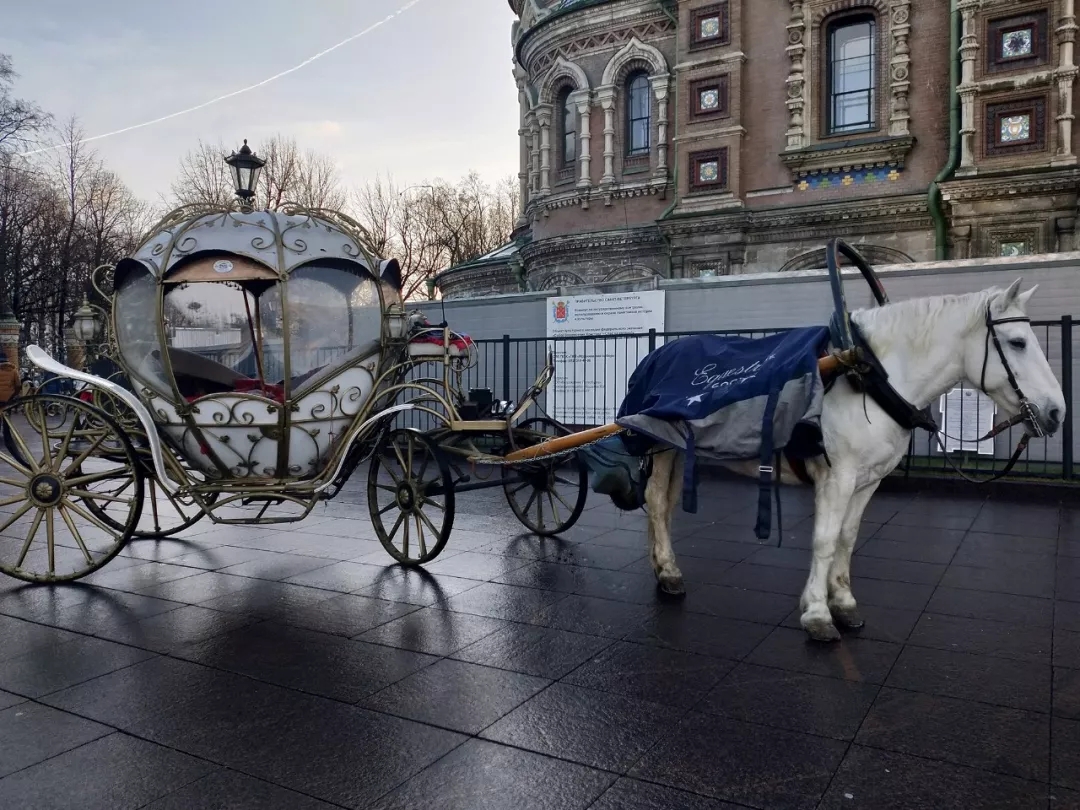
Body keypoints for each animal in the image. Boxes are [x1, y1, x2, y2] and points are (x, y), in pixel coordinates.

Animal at [640, 279, 1066, 642]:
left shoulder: (868, 480)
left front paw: (843, 604)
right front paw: (817, 613)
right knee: (657, 503)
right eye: (1017, 342)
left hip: (674, 450)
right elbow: (825, 540)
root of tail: (658, 355)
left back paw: (664, 569)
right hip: (660, 448)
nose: (1057, 412)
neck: (871, 377)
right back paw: (669, 572)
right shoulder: (837, 478)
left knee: (664, 505)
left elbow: (847, 538)